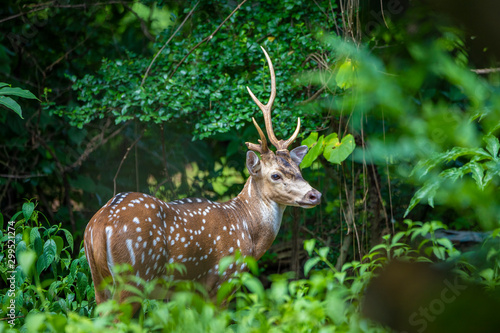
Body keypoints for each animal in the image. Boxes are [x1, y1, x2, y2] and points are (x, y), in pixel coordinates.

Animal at [83, 46, 320, 312]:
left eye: (299, 170)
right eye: (275, 175)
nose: (315, 195)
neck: (248, 231)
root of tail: (99, 226)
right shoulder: (225, 279)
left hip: (98, 279)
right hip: (134, 273)